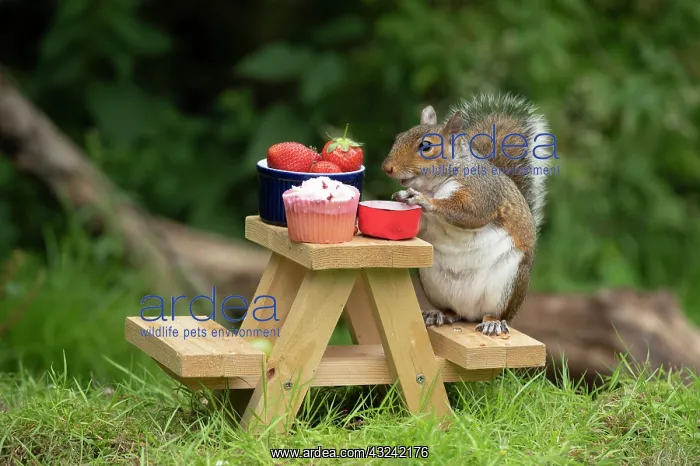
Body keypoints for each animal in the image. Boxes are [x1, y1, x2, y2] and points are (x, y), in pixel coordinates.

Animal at [381, 92, 552, 336]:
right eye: (399, 137)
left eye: (426, 146)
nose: (387, 168)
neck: (435, 185)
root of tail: (470, 312)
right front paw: (403, 198)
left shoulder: (481, 191)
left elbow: (470, 213)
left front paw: (423, 201)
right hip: (431, 281)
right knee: (454, 312)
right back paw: (439, 314)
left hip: (507, 284)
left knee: (496, 313)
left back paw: (493, 322)